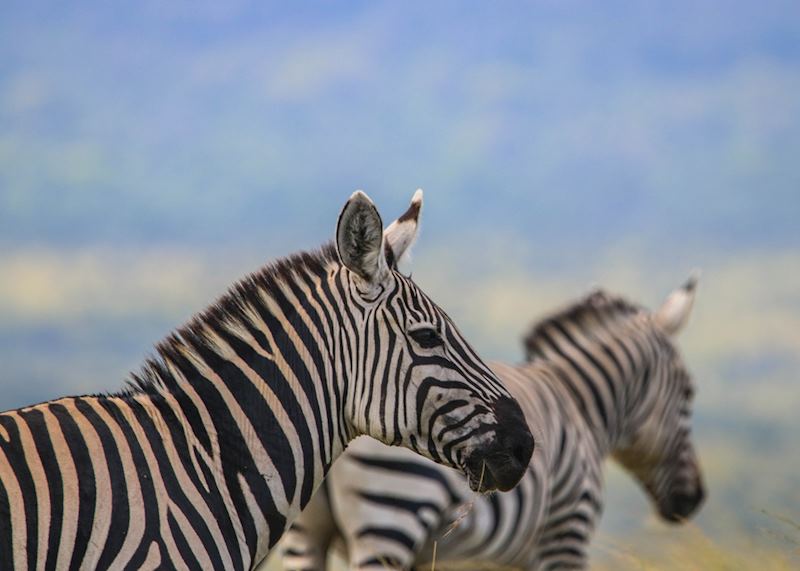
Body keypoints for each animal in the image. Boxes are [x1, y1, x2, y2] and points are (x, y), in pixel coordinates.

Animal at [281, 277, 705, 570]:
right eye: (688, 395)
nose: (695, 500)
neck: (579, 401)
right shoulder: (566, 533)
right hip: (391, 513)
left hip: (304, 533)